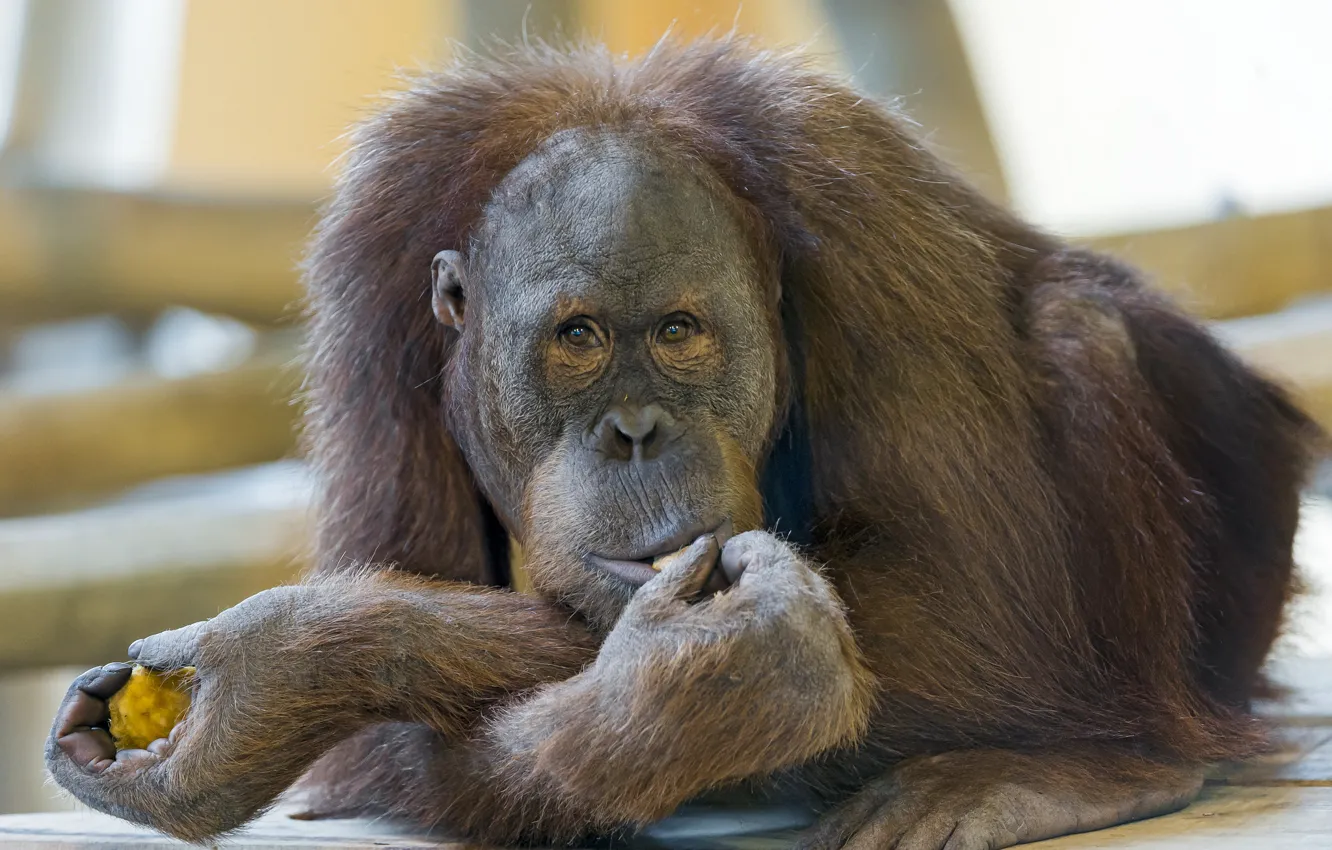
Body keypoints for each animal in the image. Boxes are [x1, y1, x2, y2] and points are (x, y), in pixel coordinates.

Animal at [47, 38, 1323, 849]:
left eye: (676, 331)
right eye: (576, 337)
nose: (635, 429)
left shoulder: (872, 223)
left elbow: (976, 602)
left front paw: (275, 673)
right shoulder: (370, 293)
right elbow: (391, 728)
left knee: (1077, 324)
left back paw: (1105, 762)